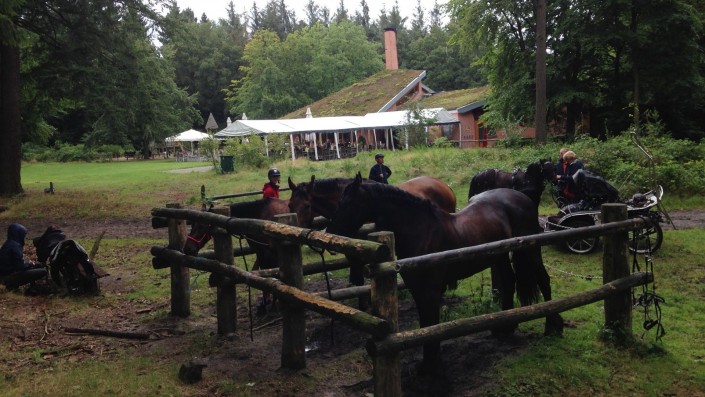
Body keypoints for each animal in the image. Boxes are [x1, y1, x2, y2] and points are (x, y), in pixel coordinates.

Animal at [324, 176, 560, 368]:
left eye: (347, 203)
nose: (330, 233)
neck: (422, 231)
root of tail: (523, 197)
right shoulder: (417, 290)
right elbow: (425, 324)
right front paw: (430, 361)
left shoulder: (430, 291)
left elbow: (431, 323)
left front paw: (431, 365)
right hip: (499, 256)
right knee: (510, 283)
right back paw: (505, 327)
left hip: (530, 250)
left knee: (543, 280)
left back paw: (552, 327)